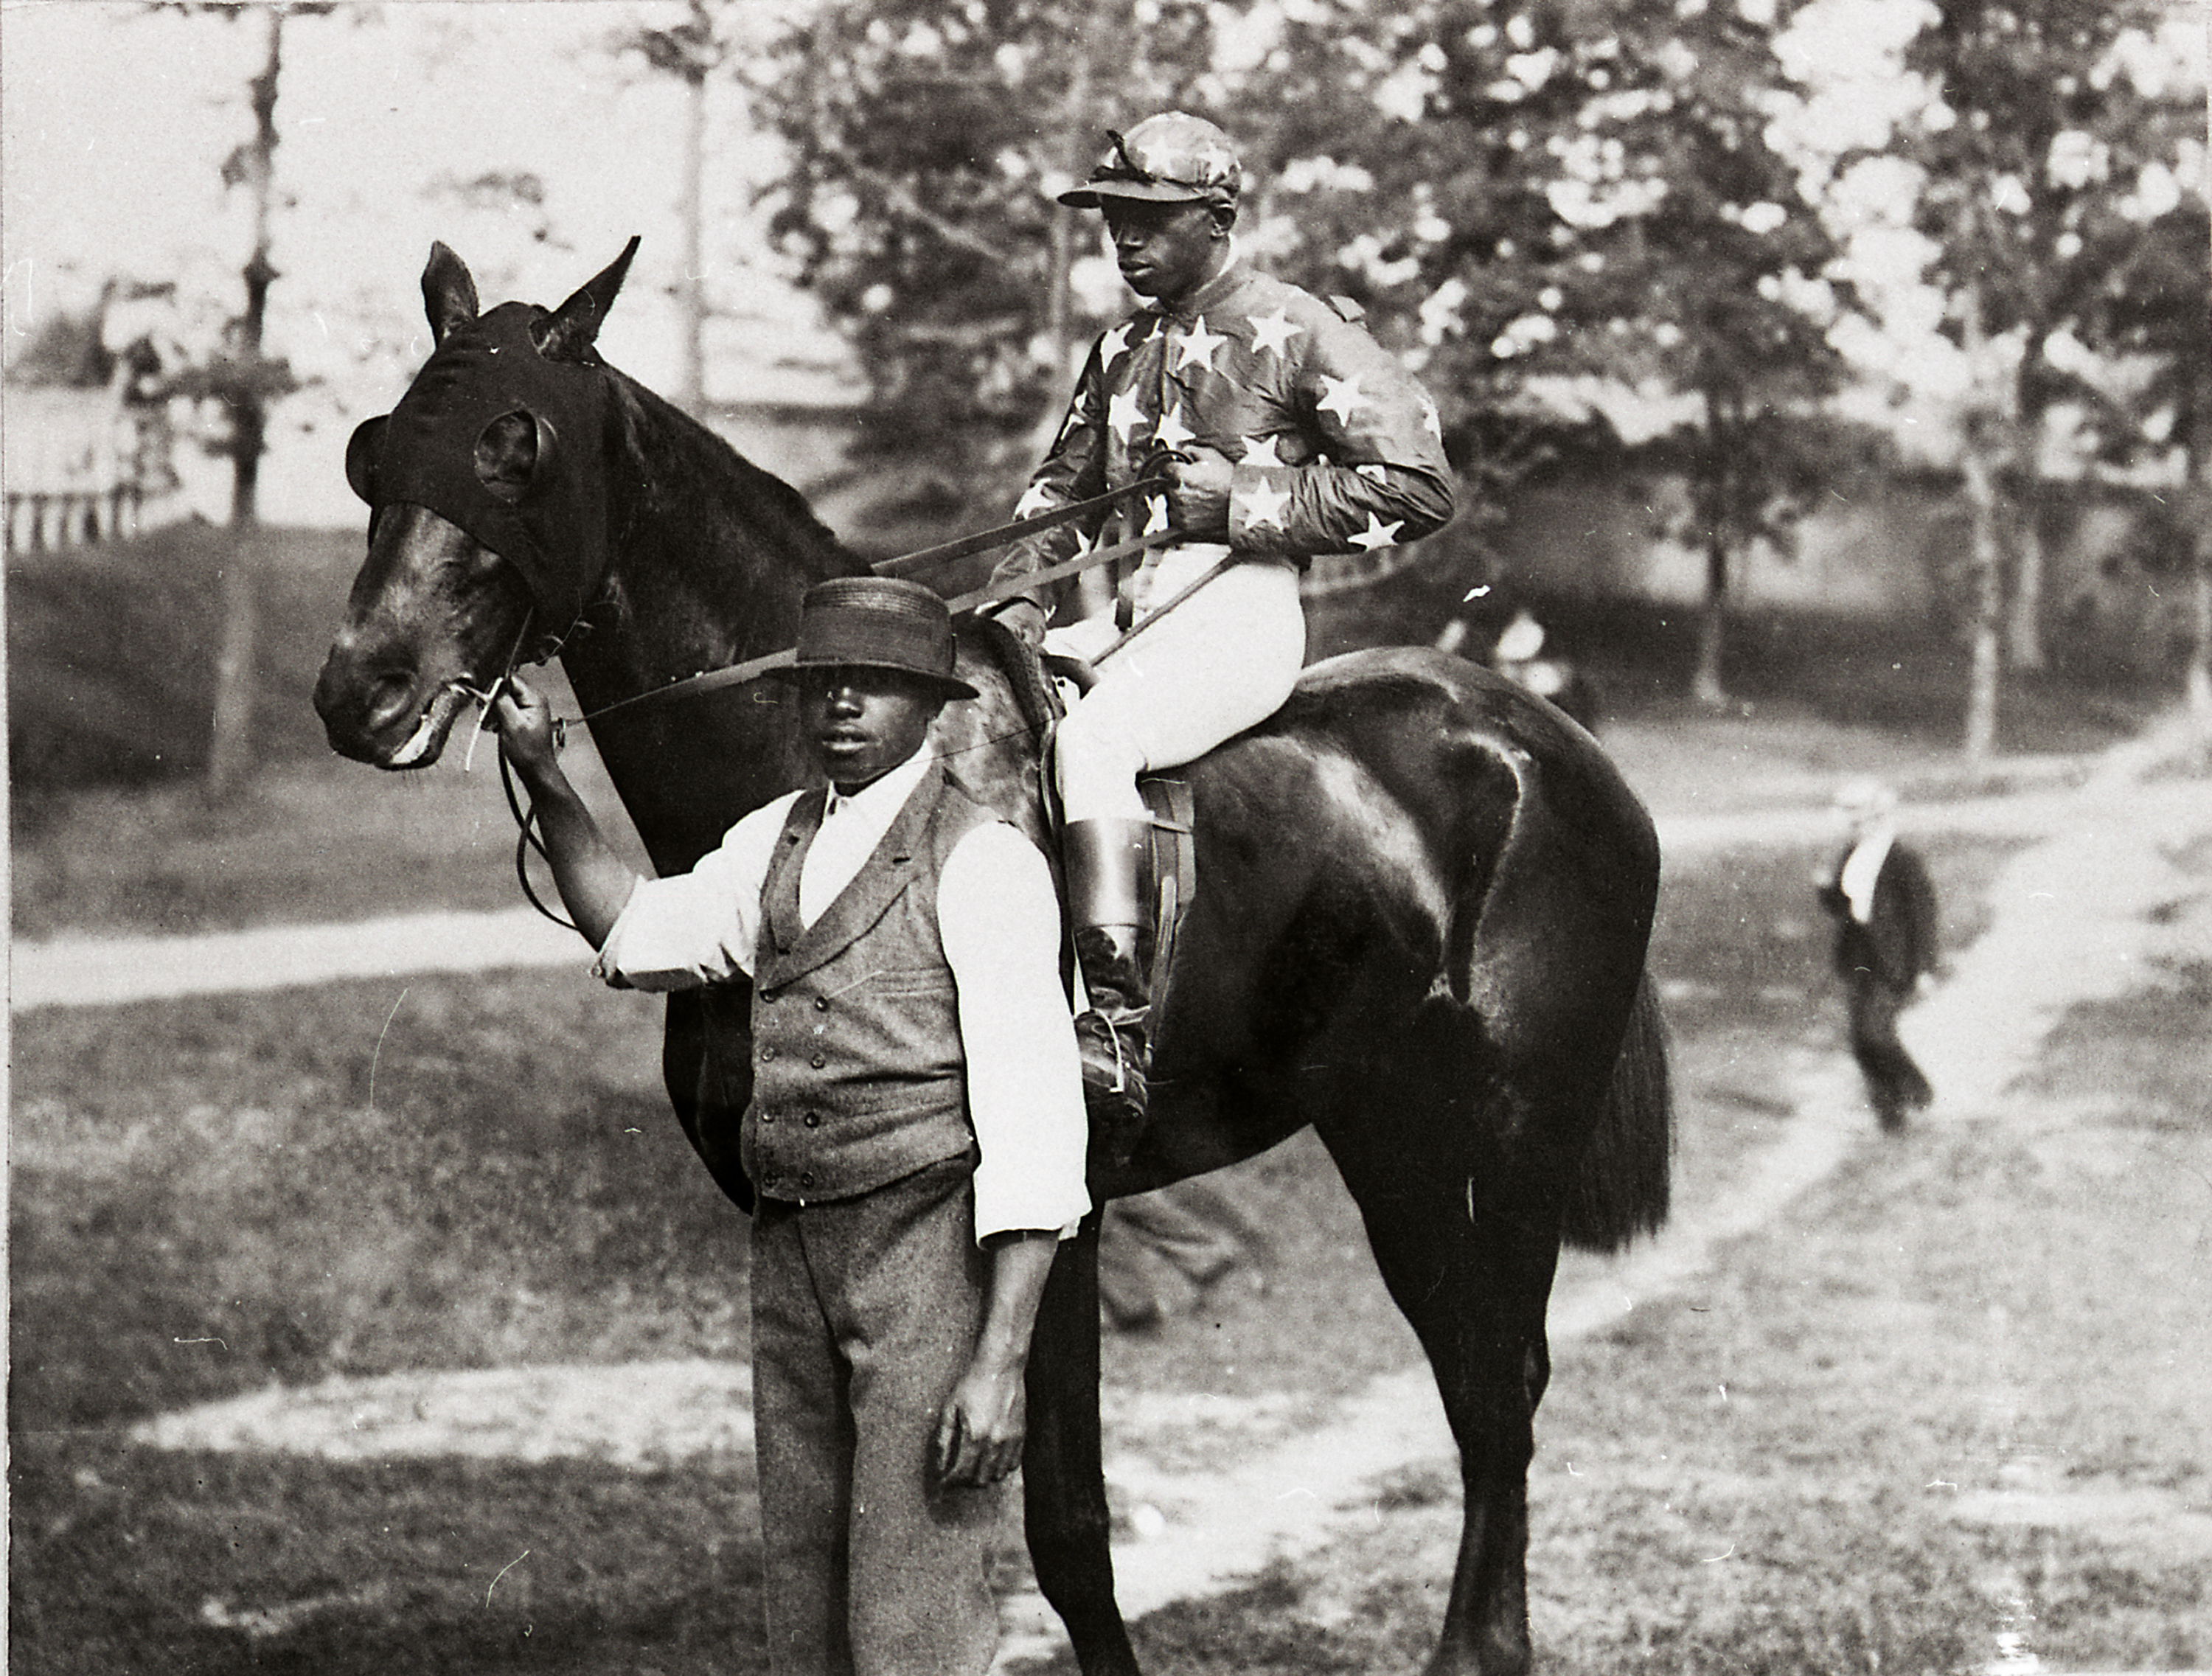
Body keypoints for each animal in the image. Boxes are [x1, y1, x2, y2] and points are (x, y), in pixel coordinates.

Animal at [307, 240, 1663, 1676]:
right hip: (1391, 1140)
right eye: (378, 449)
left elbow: (1066, 1527)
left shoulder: (1050, 1220)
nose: (361, 692)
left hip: (1514, 1142)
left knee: (1506, 1378)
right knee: (1475, 1372)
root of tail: (1542, 739)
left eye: (517, 448)